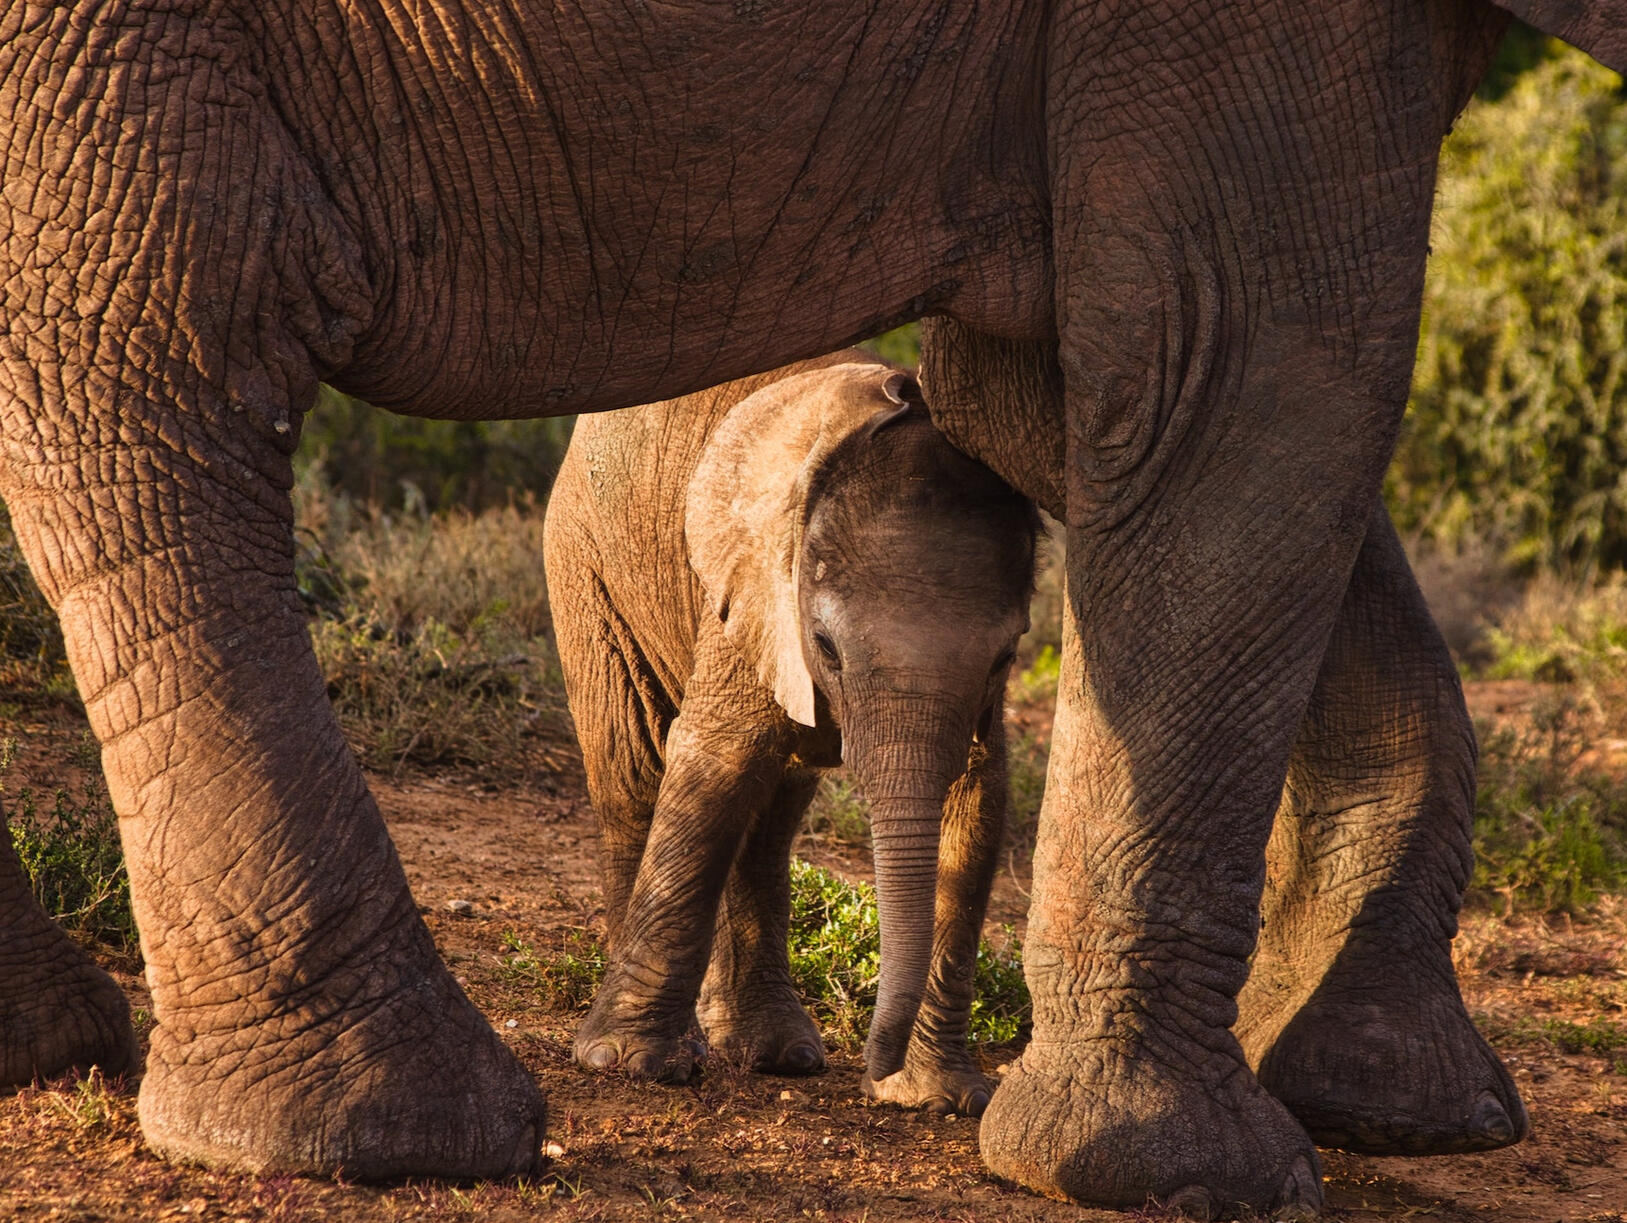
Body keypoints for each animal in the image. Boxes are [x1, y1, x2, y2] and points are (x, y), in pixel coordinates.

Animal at [544, 355, 1036, 1117]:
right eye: (825, 646)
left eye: (1005, 655)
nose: (873, 1073)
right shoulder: (755, 592)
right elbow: (712, 759)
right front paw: (630, 1065)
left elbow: (979, 798)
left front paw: (938, 1098)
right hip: (583, 562)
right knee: (631, 777)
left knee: (770, 818)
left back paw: (775, 1054)